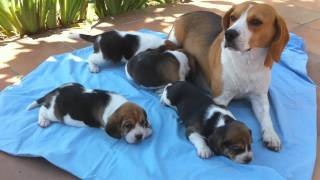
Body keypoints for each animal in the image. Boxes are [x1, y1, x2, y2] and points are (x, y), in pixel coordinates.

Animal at [169, 1, 288, 152]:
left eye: (256, 22)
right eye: (233, 17)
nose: (229, 34)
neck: (247, 61)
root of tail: (186, 13)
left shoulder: (259, 97)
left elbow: (267, 118)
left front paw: (271, 135)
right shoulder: (221, 98)